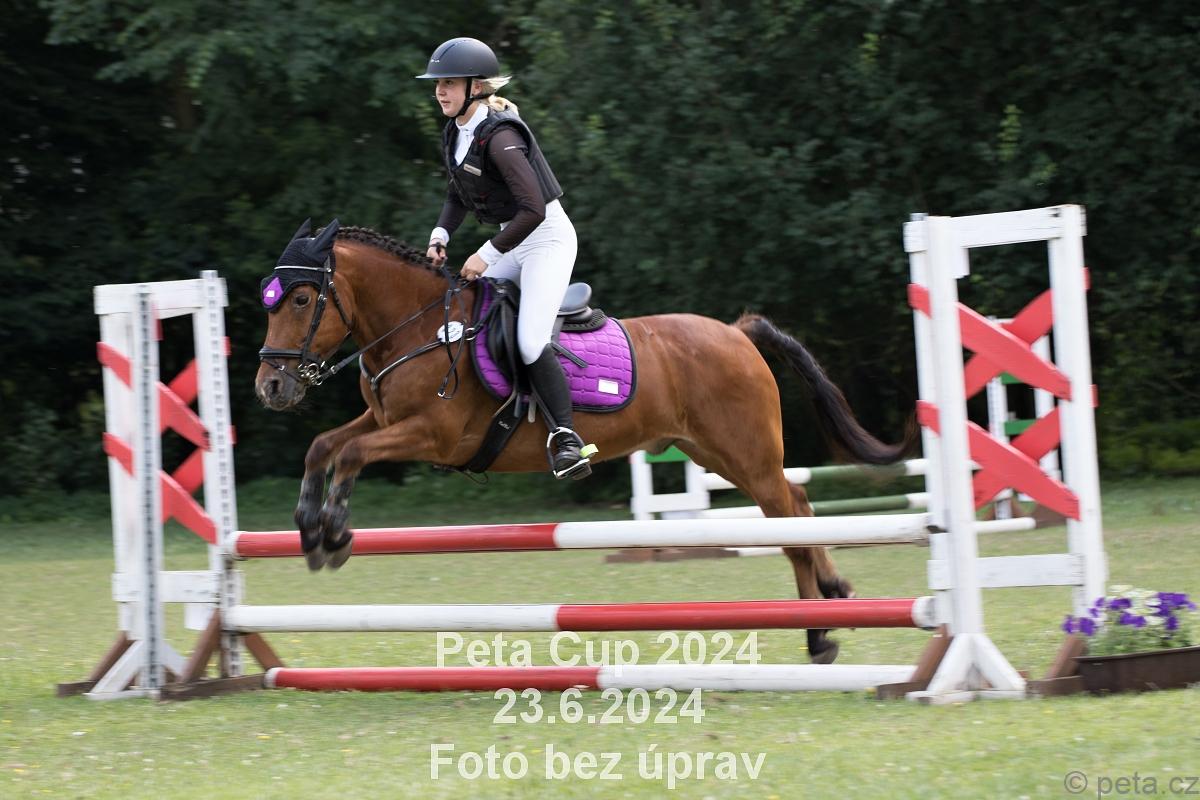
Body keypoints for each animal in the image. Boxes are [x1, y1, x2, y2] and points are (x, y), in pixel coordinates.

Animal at [254, 219, 913, 664]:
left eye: (303, 299)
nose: (270, 386)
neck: (419, 328)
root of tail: (735, 332)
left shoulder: (433, 436)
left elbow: (350, 454)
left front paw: (335, 534)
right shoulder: (384, 420)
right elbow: (324, 446)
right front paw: (310, 528)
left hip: (746, 455)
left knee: (794, 516)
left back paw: (822, 623)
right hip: (714, 452)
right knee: (793, 515)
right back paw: (824, 615)